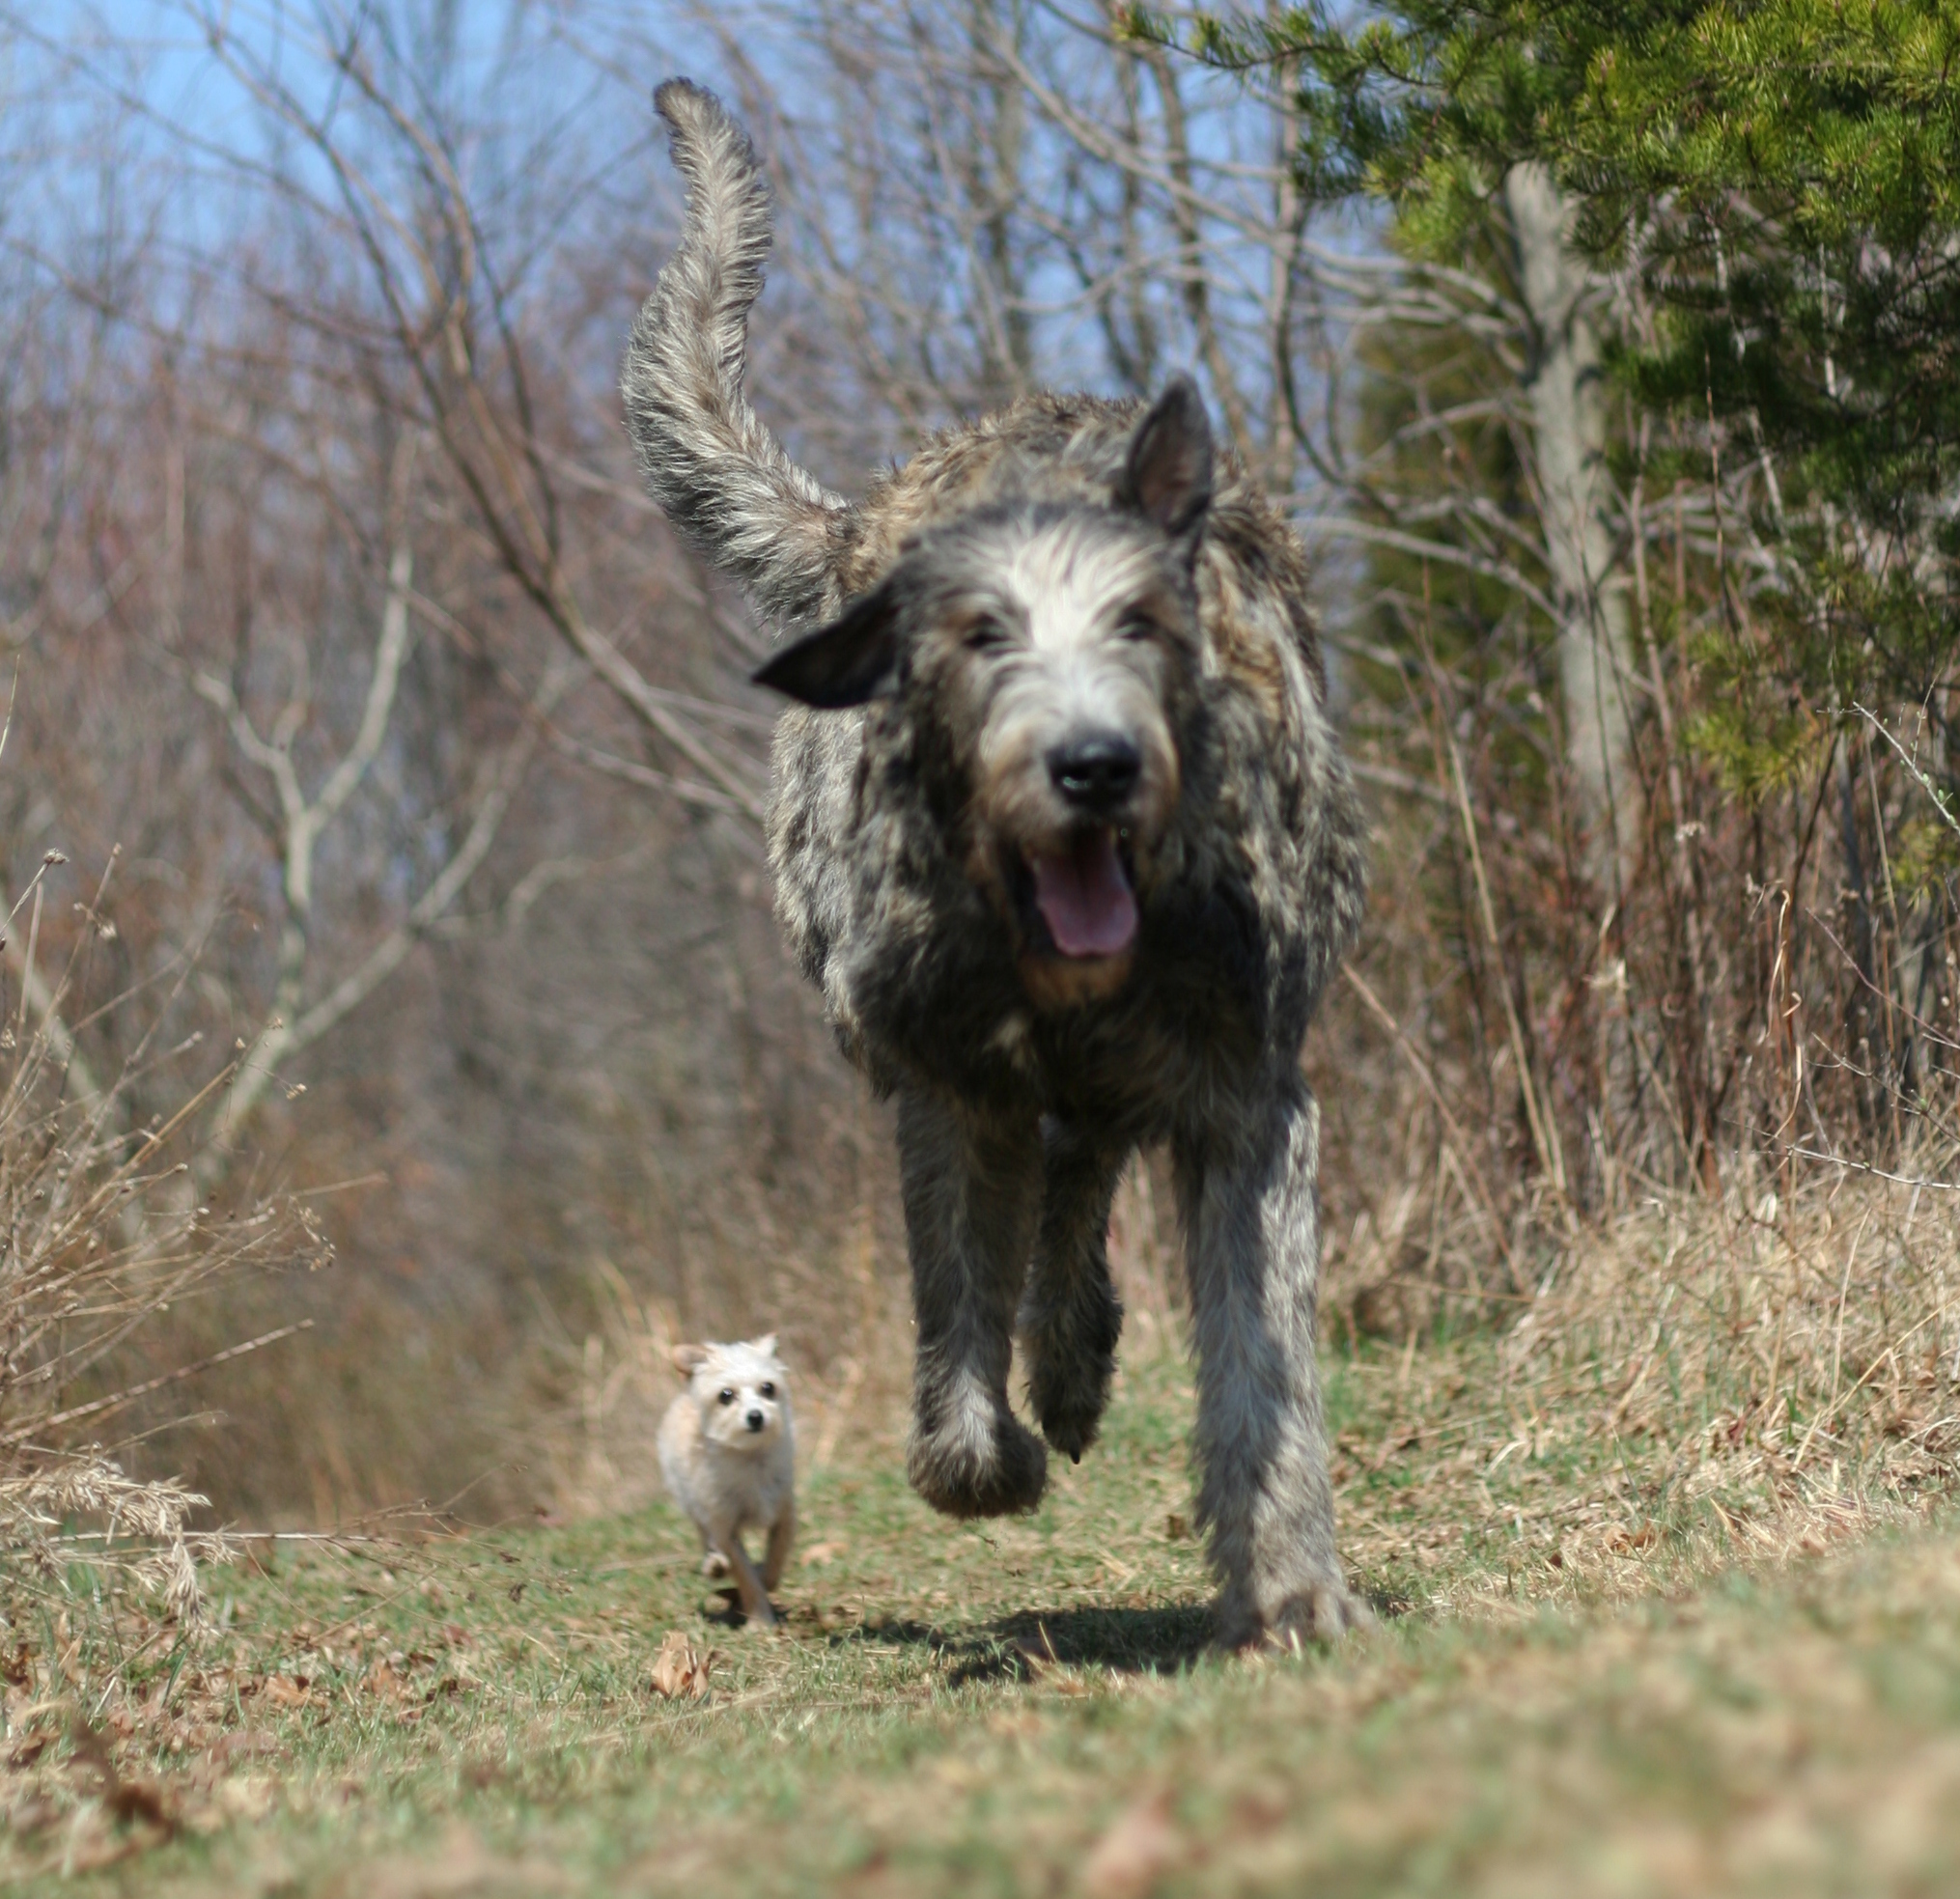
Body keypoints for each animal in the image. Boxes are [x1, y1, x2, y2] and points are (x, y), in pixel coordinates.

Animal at [658, 1325, 796, 1622]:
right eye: (726, 1395)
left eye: (768, 1388)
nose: (755, 1416)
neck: (748, 1456)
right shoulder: (725, 1528)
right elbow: (745, 1575)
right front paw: (760, 1620)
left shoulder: (784, 1515)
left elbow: (775, 1560)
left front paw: (764, 1576)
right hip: (694, 1506)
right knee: (706, 1538)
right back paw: (714, 1564)